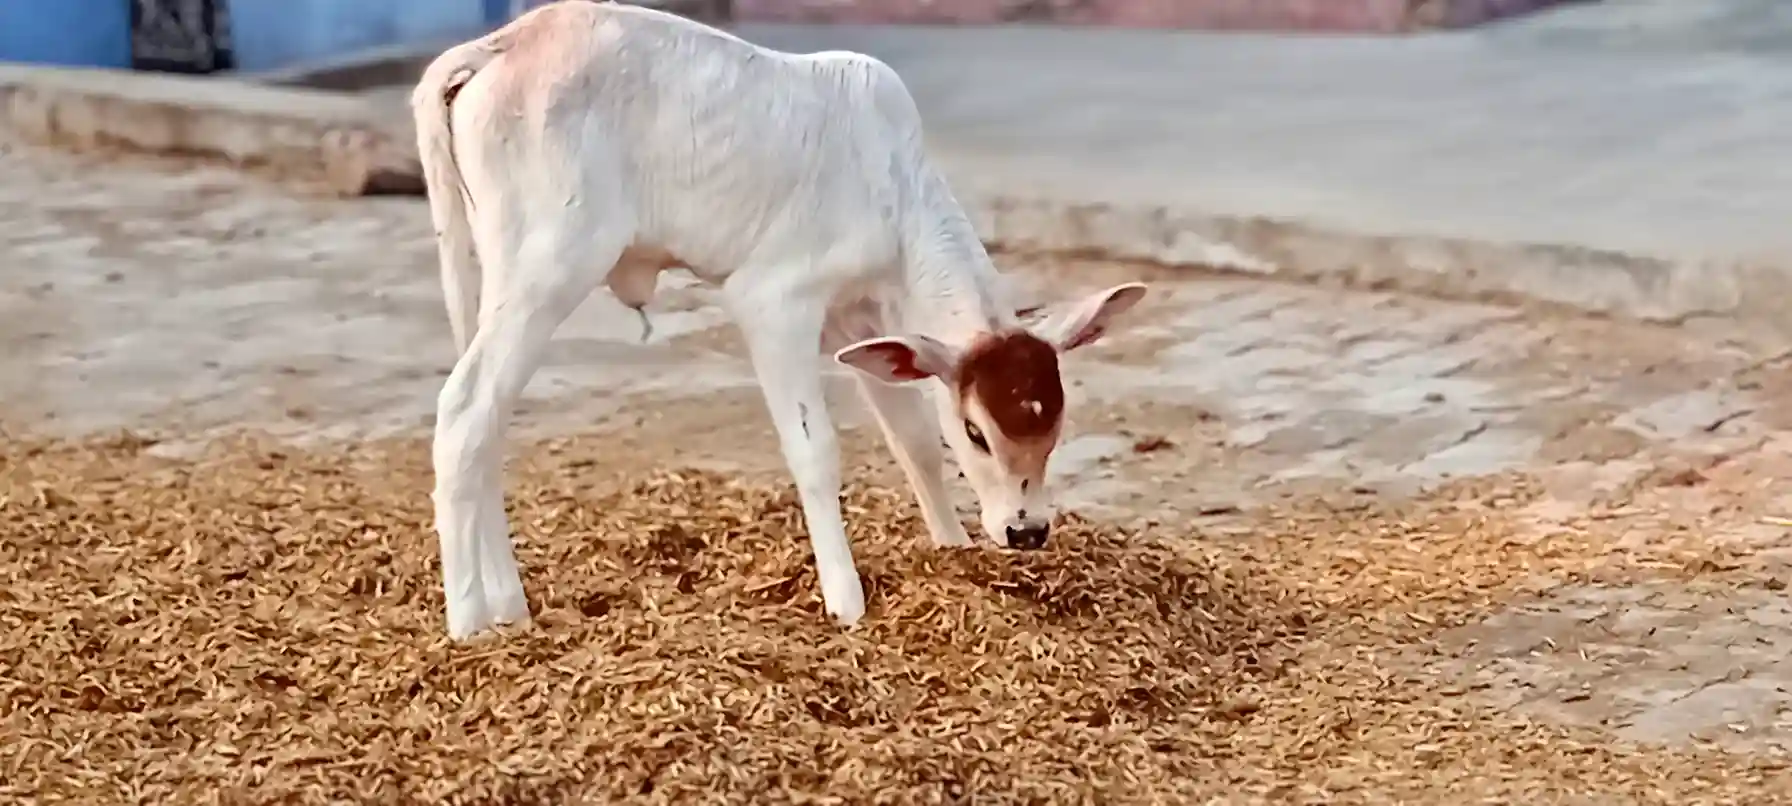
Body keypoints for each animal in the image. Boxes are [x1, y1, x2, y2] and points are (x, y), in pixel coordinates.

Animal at [413, 1, 1146, 641]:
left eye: (1055, 423)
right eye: (976, 432)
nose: (1026, 530)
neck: (894, 193)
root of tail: (491, 49)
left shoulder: (866, 326)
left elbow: (912, 441)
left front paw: (950, 546)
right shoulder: (774, 303)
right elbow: (816, 451)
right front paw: (847, 602)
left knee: (488, 425)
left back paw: (510, 606)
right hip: (548, 270)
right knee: (464, 409)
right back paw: (469, 622)